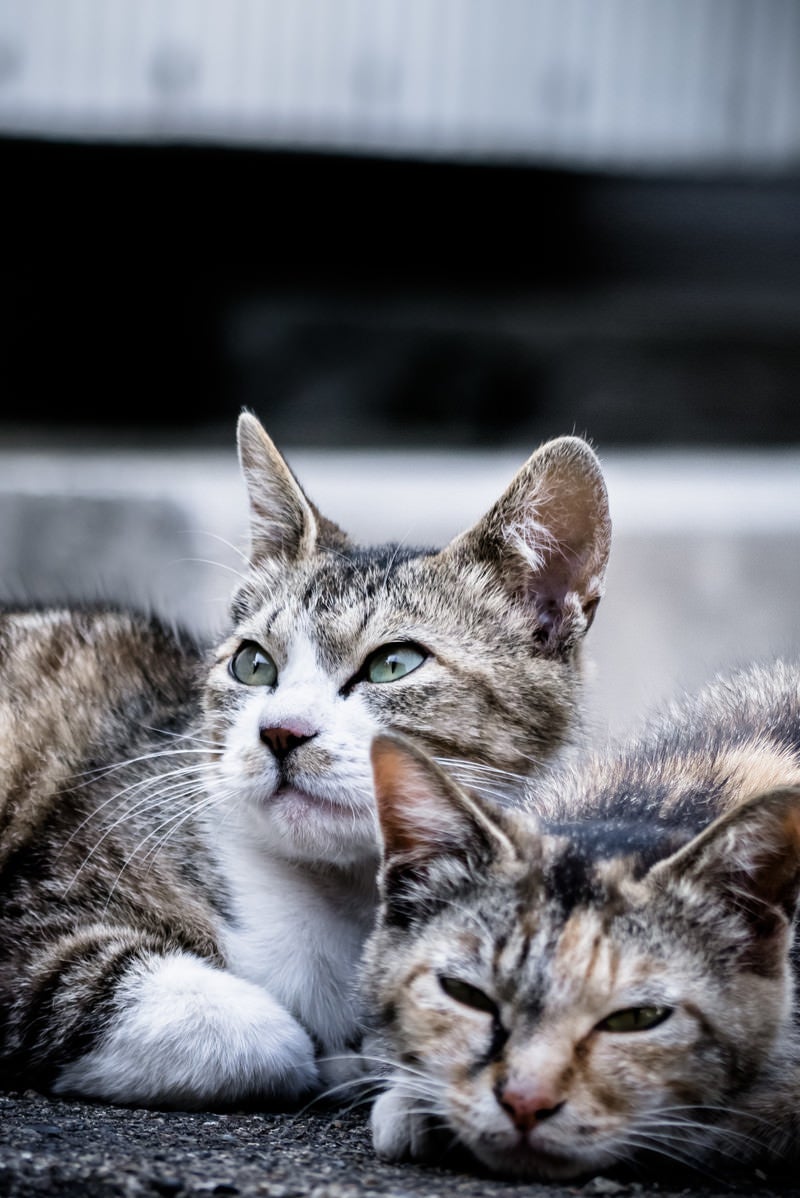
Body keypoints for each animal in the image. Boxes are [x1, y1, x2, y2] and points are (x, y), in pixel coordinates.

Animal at [0, 412, 613, 1102]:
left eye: (393, 664)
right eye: (252, 663)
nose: (281, 731)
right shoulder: (39, 915)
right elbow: (263, 1036)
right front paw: (330, 1057)